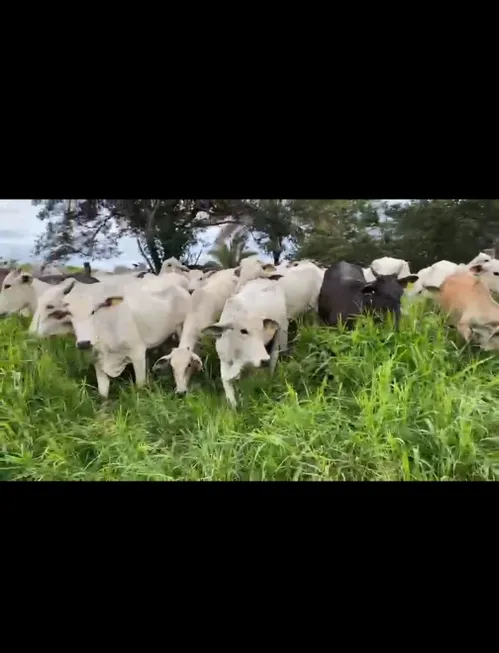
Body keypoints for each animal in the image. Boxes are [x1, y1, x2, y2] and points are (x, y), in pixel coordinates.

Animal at [203, 276, 290, 408]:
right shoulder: (224, 360)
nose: (264, 360)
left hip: (280, 332)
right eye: (243, 331)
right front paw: (233, 405)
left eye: (261, 330)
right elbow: (227, 382)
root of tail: (268, 280)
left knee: (274, 355)